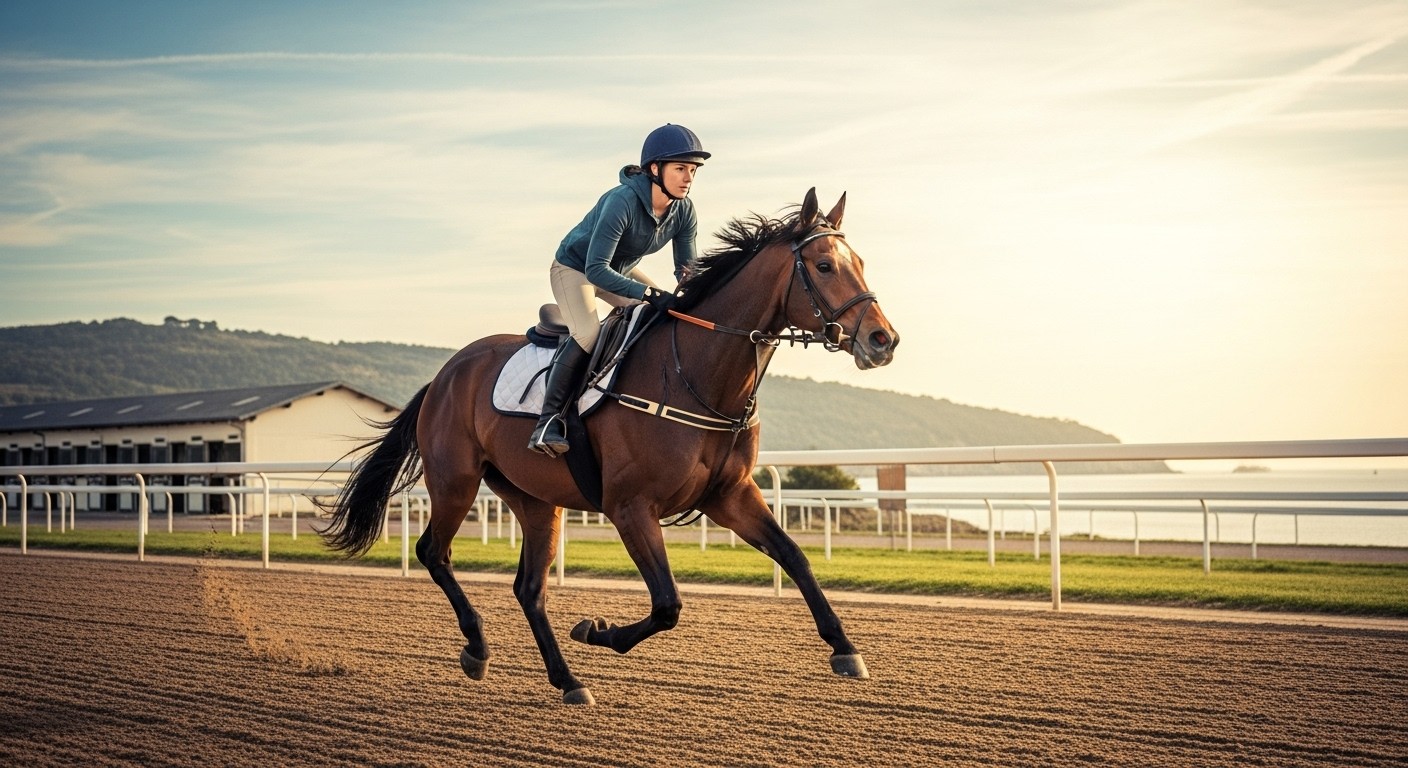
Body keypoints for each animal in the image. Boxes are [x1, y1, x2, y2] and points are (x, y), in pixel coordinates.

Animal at [320, 188, 901, 704]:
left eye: (860, 262)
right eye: (823, 266)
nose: (884, 340)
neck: (695, 373)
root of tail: (445, 373)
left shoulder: (730, 494)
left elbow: (795, 557)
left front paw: (846, 649)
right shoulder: (630, 506)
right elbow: (667, 604)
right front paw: (596, 631)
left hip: (535, 500)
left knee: (528, 589)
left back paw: (568, 681)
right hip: (455, 480)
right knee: (432, 552)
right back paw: (478, 647)